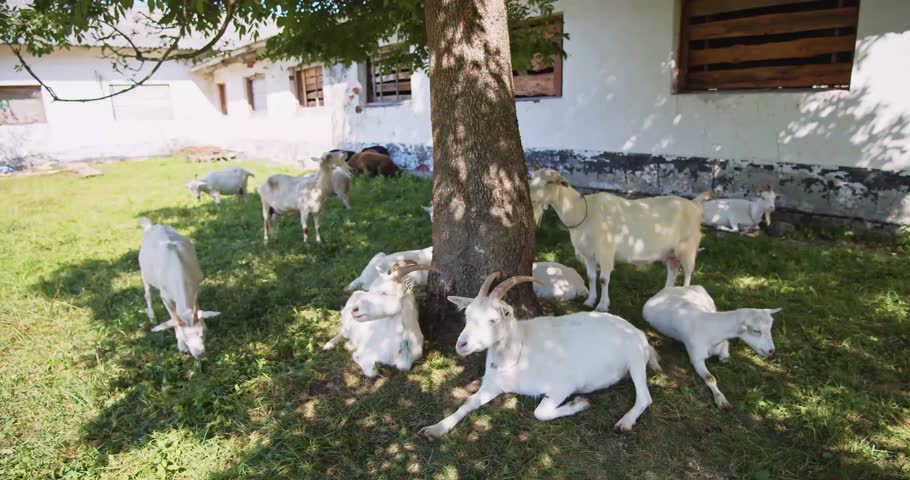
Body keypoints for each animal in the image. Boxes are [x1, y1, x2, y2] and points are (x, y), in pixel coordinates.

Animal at [138, 217, 220, 359]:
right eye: (185, 338)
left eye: (202, 333)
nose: (199, 355)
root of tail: (150, 226)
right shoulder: (165, 296)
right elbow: (173, 318)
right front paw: (181, 346)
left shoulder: (195, 287)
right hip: (144, 273)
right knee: (147, 294)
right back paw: (152, 317)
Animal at [419, 273, 660, 439]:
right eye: (467, 315)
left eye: (493, 320)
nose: (461, 344)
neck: (519, 353)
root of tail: (638, 332)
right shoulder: (493, 385)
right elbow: (468, 402)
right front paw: (436, 428)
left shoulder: (563, 385)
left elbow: (540, 412)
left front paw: (579, 404)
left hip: (635, 361)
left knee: (645, 397)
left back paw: (625, 422)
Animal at [529, 169, 710, 312]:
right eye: (531, 178)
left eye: (550, 182)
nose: (530, 197)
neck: (581, 211)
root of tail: (695, 204)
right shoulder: (588, 253)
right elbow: (591, 277)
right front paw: (590, 301)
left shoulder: (606, 250)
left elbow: (603, 279)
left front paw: (602, 306)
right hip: (670, 252)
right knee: (673, 270)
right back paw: (664, 295)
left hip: (688, 247)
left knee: (688, 271)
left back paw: (682, 294)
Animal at [642, 285, 780, 409]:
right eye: (756, 331)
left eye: (770, 327)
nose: (771, 350)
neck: (709, 326)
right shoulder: (696, 356)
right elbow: (710, 378)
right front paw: (722, 401)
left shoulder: (723, 343)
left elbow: (725, 356)